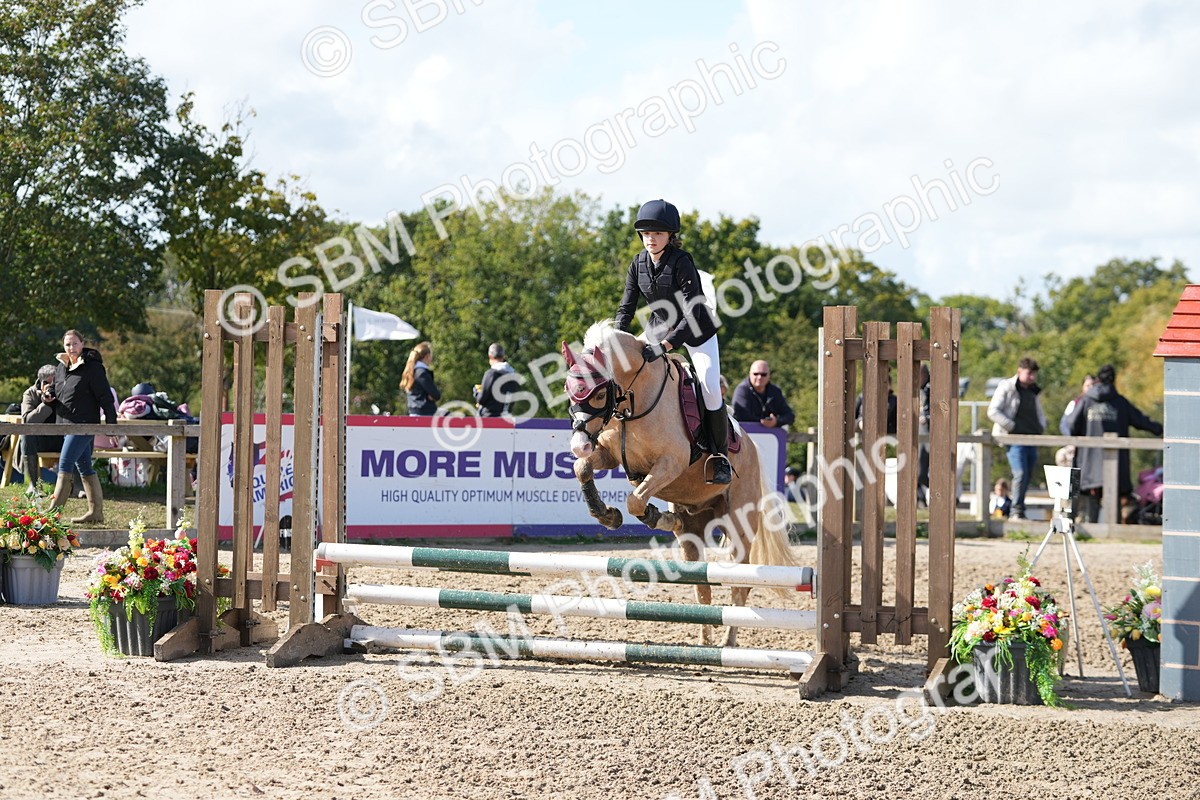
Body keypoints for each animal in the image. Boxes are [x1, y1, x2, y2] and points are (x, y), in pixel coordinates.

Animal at [561, 320, 798, 646]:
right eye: (569, 391)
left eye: (597, 394)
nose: (580, 444)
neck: (637, 398)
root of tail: (751, 447)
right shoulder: (609, 456)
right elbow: (582, 467)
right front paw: (605, 514)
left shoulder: (670, 463)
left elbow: (635, 500)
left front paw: (648, 515)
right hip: (694, 533)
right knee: (702, 585)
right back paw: (704, 643)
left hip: (739, 524)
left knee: (740, 585)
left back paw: (728, 642)